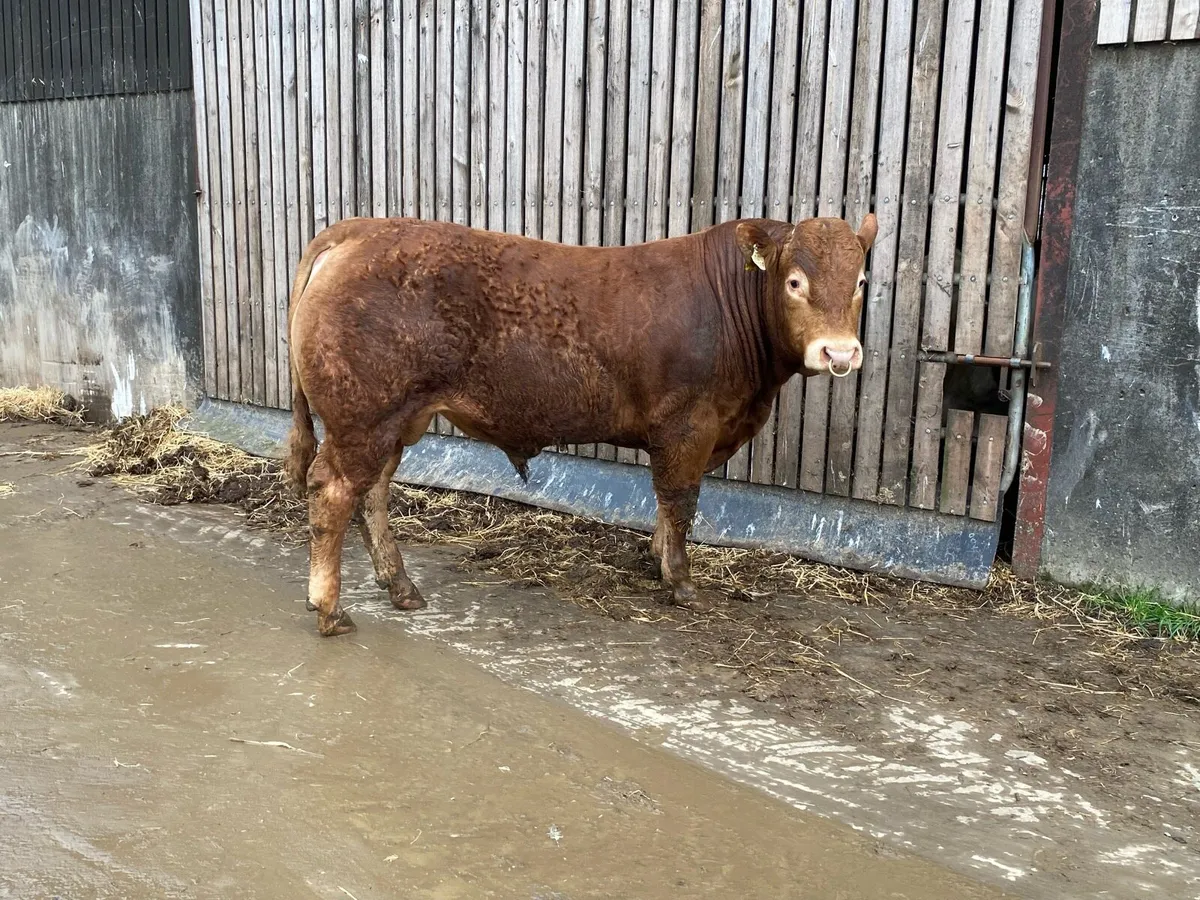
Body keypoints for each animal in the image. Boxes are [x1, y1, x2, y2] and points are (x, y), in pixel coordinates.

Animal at [284, 213, 877, 636]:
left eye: (860, 280)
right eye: (795, 281)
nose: (839, 352)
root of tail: (357, 229)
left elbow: (666, 505)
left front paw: (657, 559)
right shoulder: (687, 425)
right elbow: (680, 500)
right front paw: (680, 581)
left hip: (394, 419)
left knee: (373, 495)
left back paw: (401, 586)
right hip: (363, 417)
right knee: (332, 491)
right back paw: (330, 609)